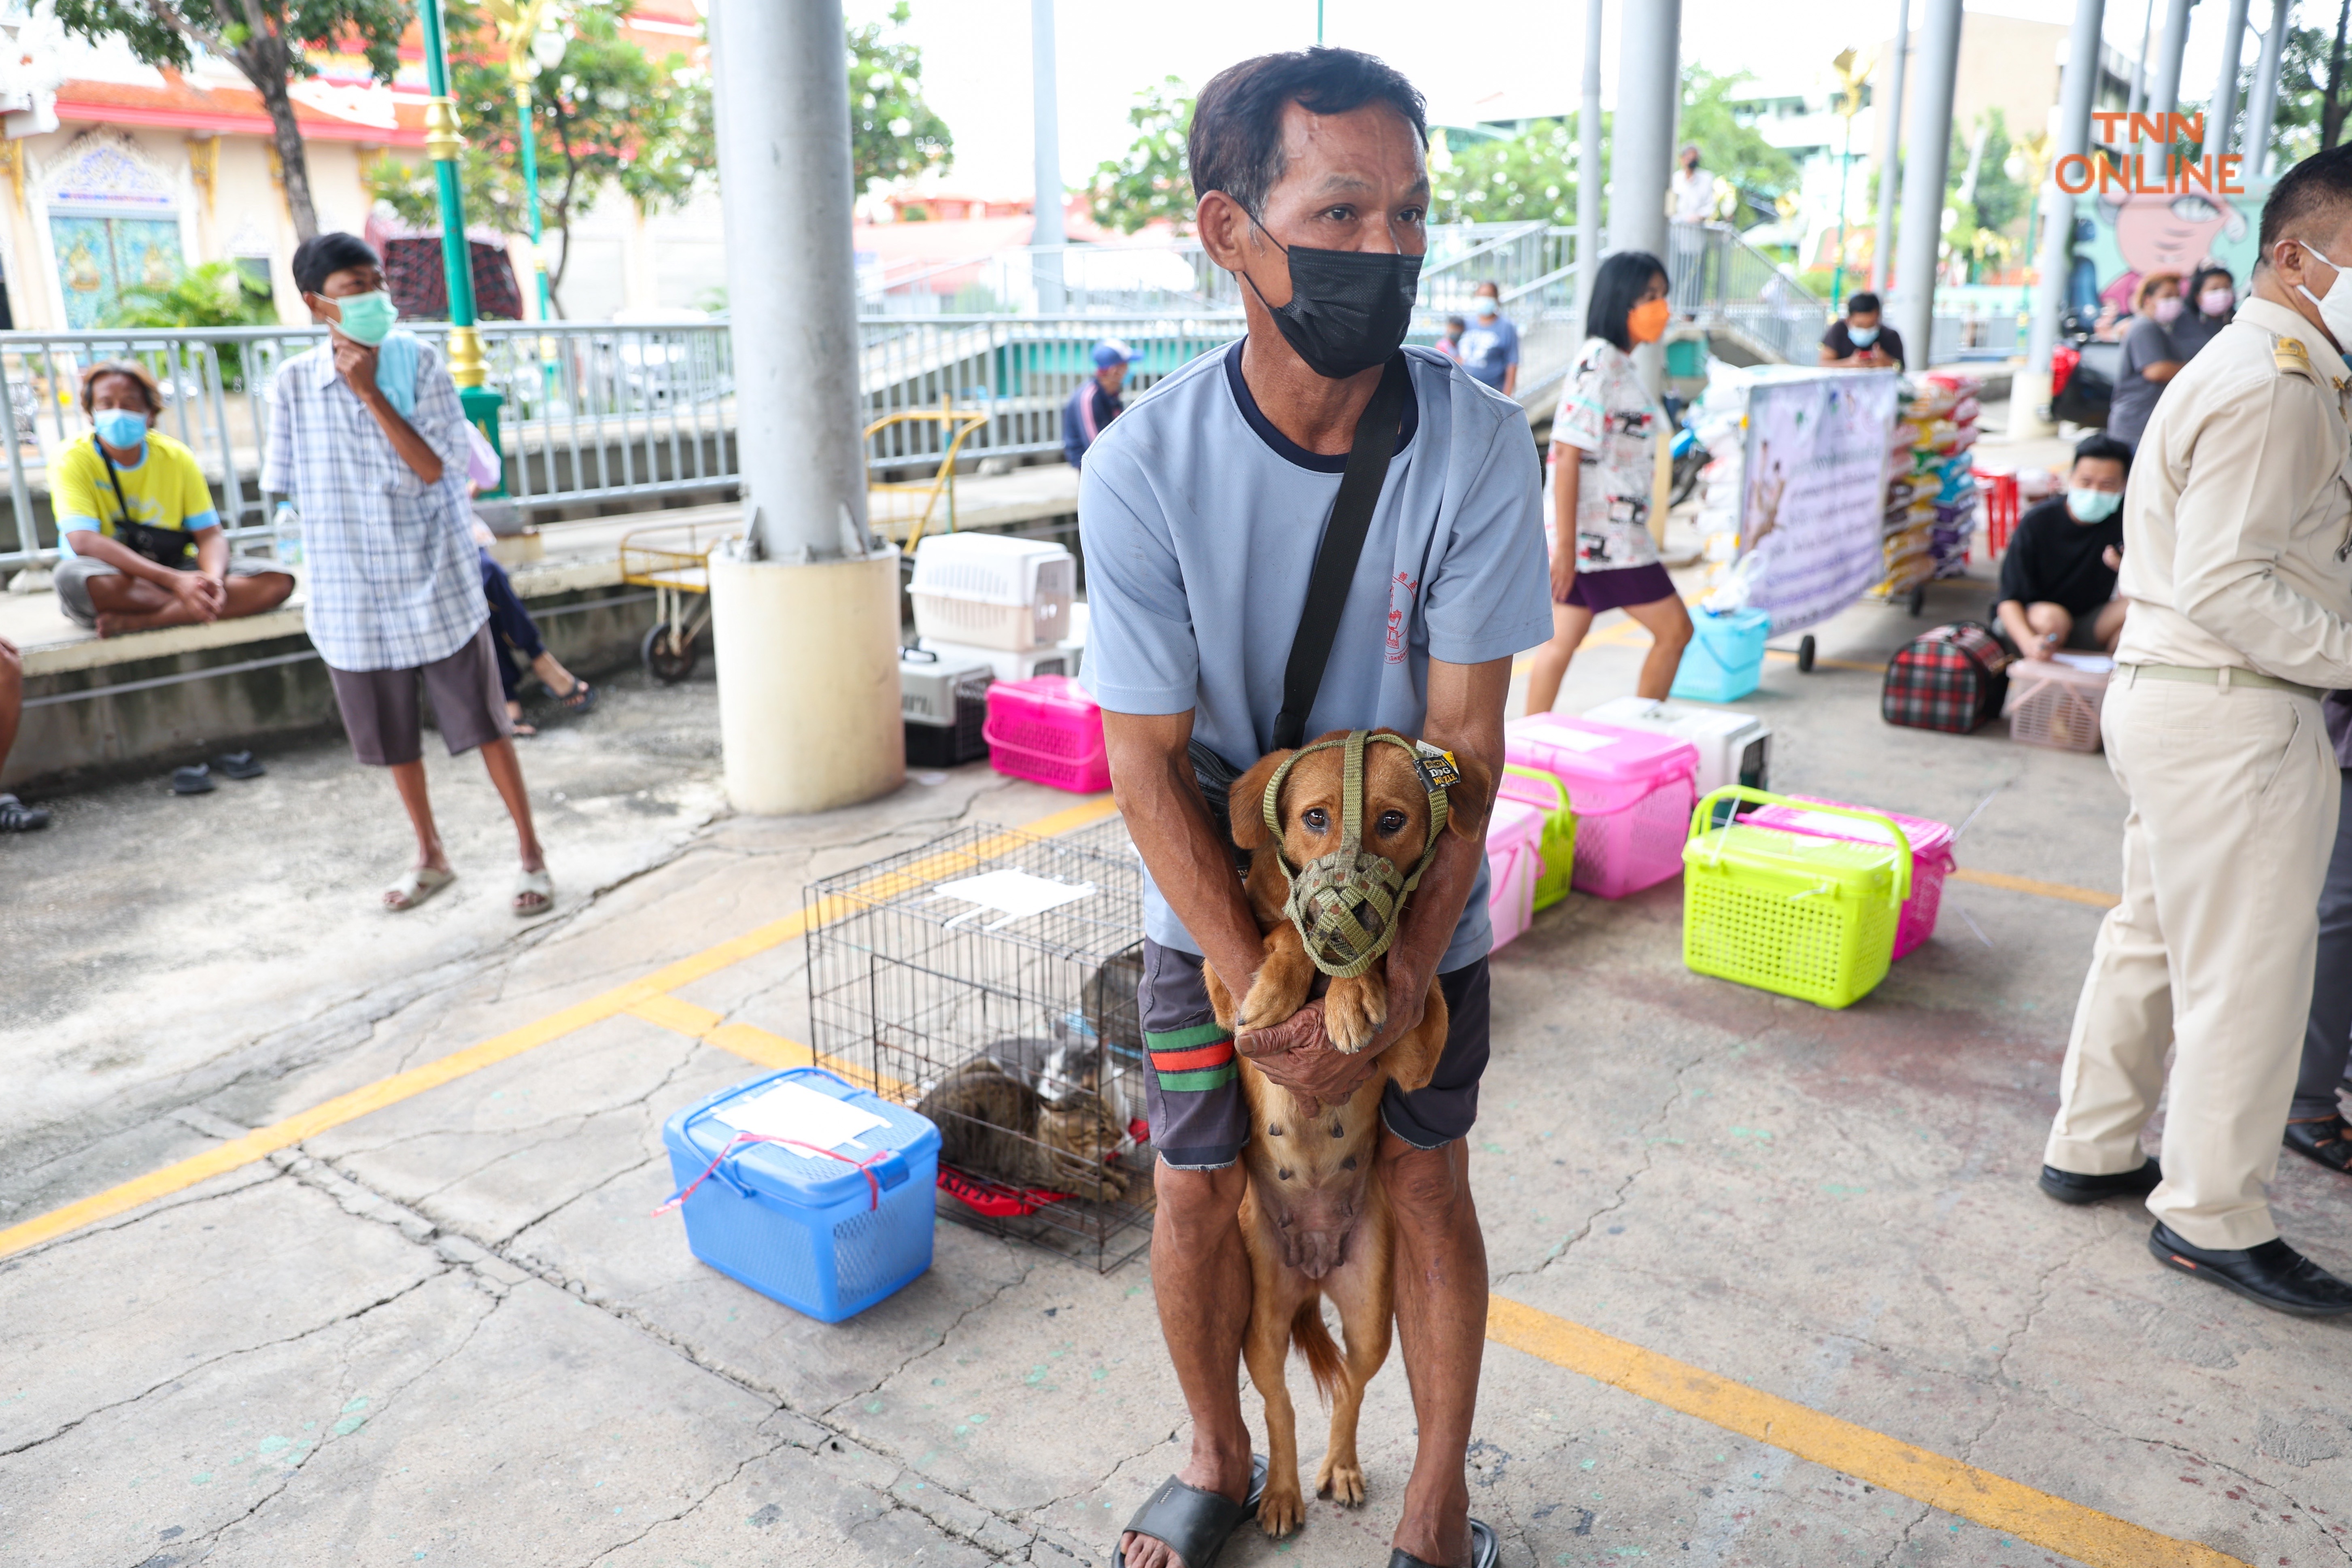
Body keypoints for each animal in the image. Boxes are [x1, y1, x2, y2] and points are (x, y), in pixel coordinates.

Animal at [912, 1062, 1133, 1213]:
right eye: (1100, 1129)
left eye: (1114, 1117)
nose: (1120, 1134)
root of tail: (920, 1108)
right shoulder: (1037, 1178)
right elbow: (1079, 1183)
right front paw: (1105, 1189)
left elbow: (1099, 1167)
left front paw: (1115, 1177)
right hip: (966, 1114)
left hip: (985, 1064)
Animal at [1213, 729, 1486, 1542]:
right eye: (1314, 816)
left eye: (1393, 820)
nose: (1346, 904)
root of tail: (1313, 1265)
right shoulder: (1222, 993)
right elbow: (1278, 933)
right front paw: (1284, 981)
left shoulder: (1417, 1051)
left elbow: (1406, 971)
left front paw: (1354, 992)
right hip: (1260, 1325)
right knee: (1277, 1405)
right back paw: (1280, 1492)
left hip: (1371, 1313)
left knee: (1349, 1391)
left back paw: (1338, 1466)